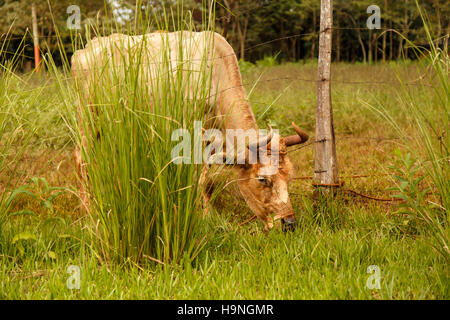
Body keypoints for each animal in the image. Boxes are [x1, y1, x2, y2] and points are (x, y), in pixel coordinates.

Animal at [71, 31, 310, 231]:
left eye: (289, 178)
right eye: (262, 179)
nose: (289, 223)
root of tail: (86, 49)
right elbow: (200, 178)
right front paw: (205, 216)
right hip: (88, 121)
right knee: (81, 162)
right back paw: (88, 212)